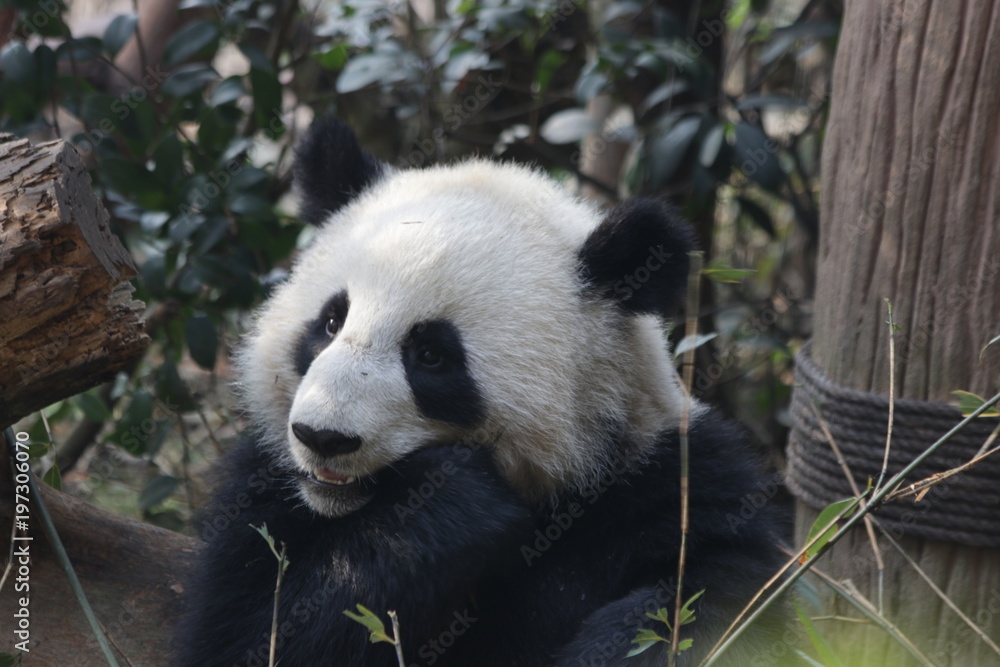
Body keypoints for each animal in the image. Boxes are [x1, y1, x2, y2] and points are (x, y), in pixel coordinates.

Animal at [177, 118, 787, 667]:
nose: (323, 437)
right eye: (330, 323)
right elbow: (254, 633)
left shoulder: (663, 482)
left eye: (431, 355)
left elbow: (721, 595)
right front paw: (453, 503)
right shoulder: (266, 495)